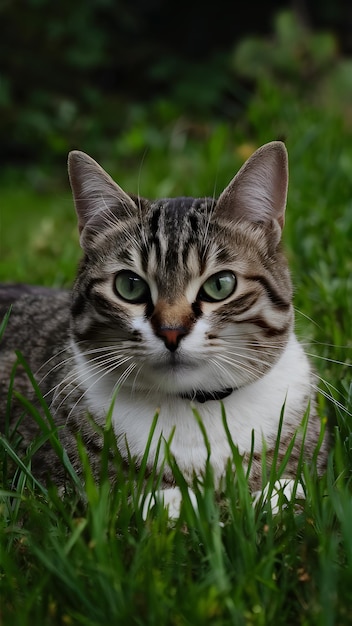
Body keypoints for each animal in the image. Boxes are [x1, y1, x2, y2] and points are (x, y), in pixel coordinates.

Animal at [0, 141, 328, 512]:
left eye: (220, 285)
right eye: (129, 286)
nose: (172, 331)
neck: (196, 407)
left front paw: (277, 496)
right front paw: (169, 503)